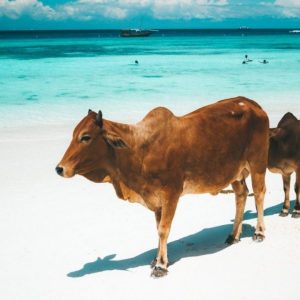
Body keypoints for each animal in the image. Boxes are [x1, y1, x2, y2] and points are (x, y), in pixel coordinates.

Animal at [56, 96, 270, 276]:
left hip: (257, 163)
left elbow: (163, 229)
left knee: (259, 194)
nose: (59, 168)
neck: (138, 151)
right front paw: (157, 258)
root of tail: (252, 104)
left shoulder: (171, 194)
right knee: (241, 194)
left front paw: (160, 265)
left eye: (86, 137)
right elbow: (158, 228)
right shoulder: (156, 200)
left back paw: (259, 232)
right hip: (235, 173)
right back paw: (233, 235)